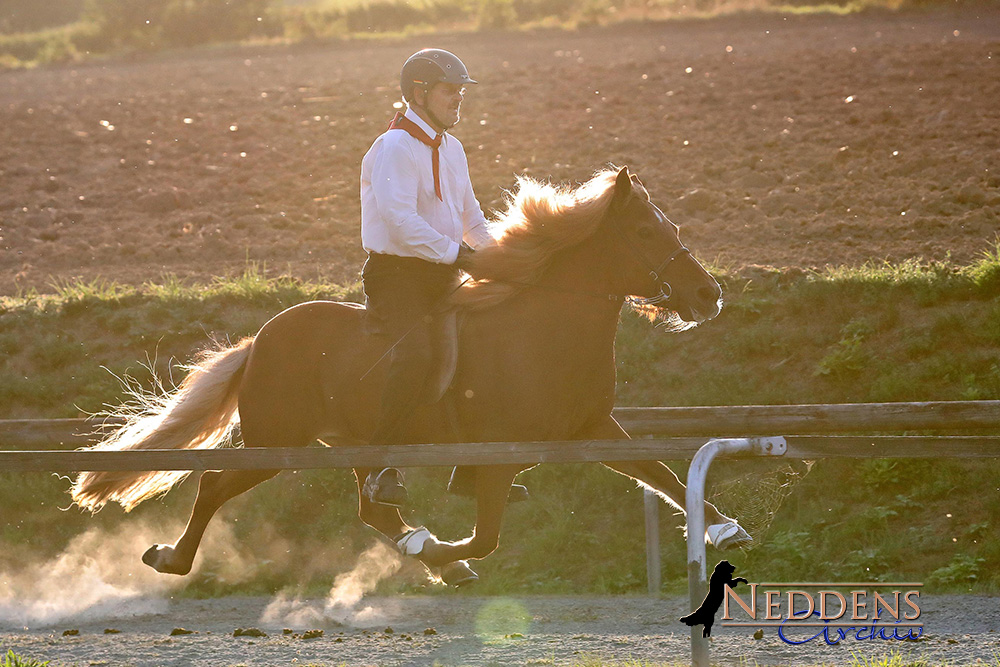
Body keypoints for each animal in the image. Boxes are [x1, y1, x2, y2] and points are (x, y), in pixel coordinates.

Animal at [70, 167, 744, 584]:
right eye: (644, 230)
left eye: (671, 226)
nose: (708, 296)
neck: (543, 329)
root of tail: (261, 340)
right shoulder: (498, 457)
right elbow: (485, 536)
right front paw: (442, 548)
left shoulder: (592, 431)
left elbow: (659, 471)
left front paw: (725, 528)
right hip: (276, 442)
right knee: (213, 485)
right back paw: (171, 558)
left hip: (349, 445)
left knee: (372, 505)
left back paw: (416, 543)